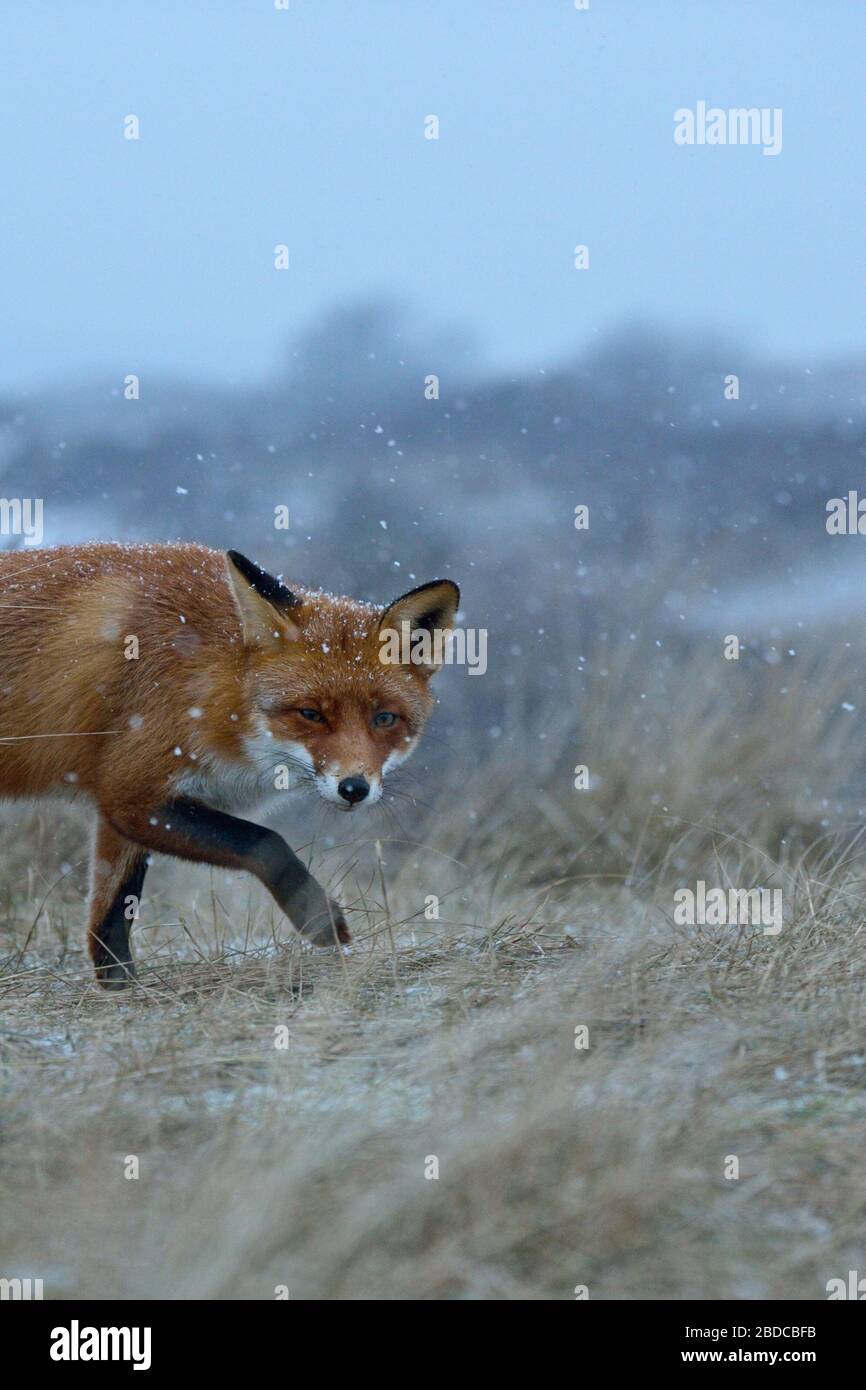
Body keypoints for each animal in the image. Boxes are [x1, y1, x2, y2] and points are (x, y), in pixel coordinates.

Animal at [0, 542, 461, 989]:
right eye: (310, 714)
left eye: (384, 719)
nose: (354, 788)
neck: (209, 683)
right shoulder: (130, 794)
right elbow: (264, 842)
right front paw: (319, 919)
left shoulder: (123, 799)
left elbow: (111, 918)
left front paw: (123, 990)